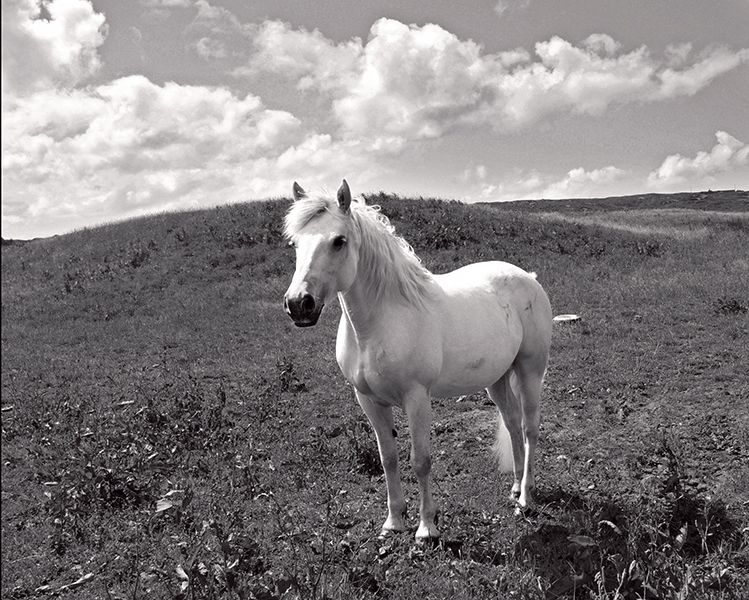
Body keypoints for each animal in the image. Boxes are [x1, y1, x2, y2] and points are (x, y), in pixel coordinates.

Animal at [283, 180, 552, 541]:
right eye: (295, 243)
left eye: (339, 241)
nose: (299, 304)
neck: (379, 323)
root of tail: (529, 278)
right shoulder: (368, 400)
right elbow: (388, 458)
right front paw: (394, 521)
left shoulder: (417, 398)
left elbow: (420, 460)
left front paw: (427, 528)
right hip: (496, 380)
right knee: (511, 424)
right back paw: (514, 487)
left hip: (530, 371)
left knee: (528, 427)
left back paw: (525, 496)